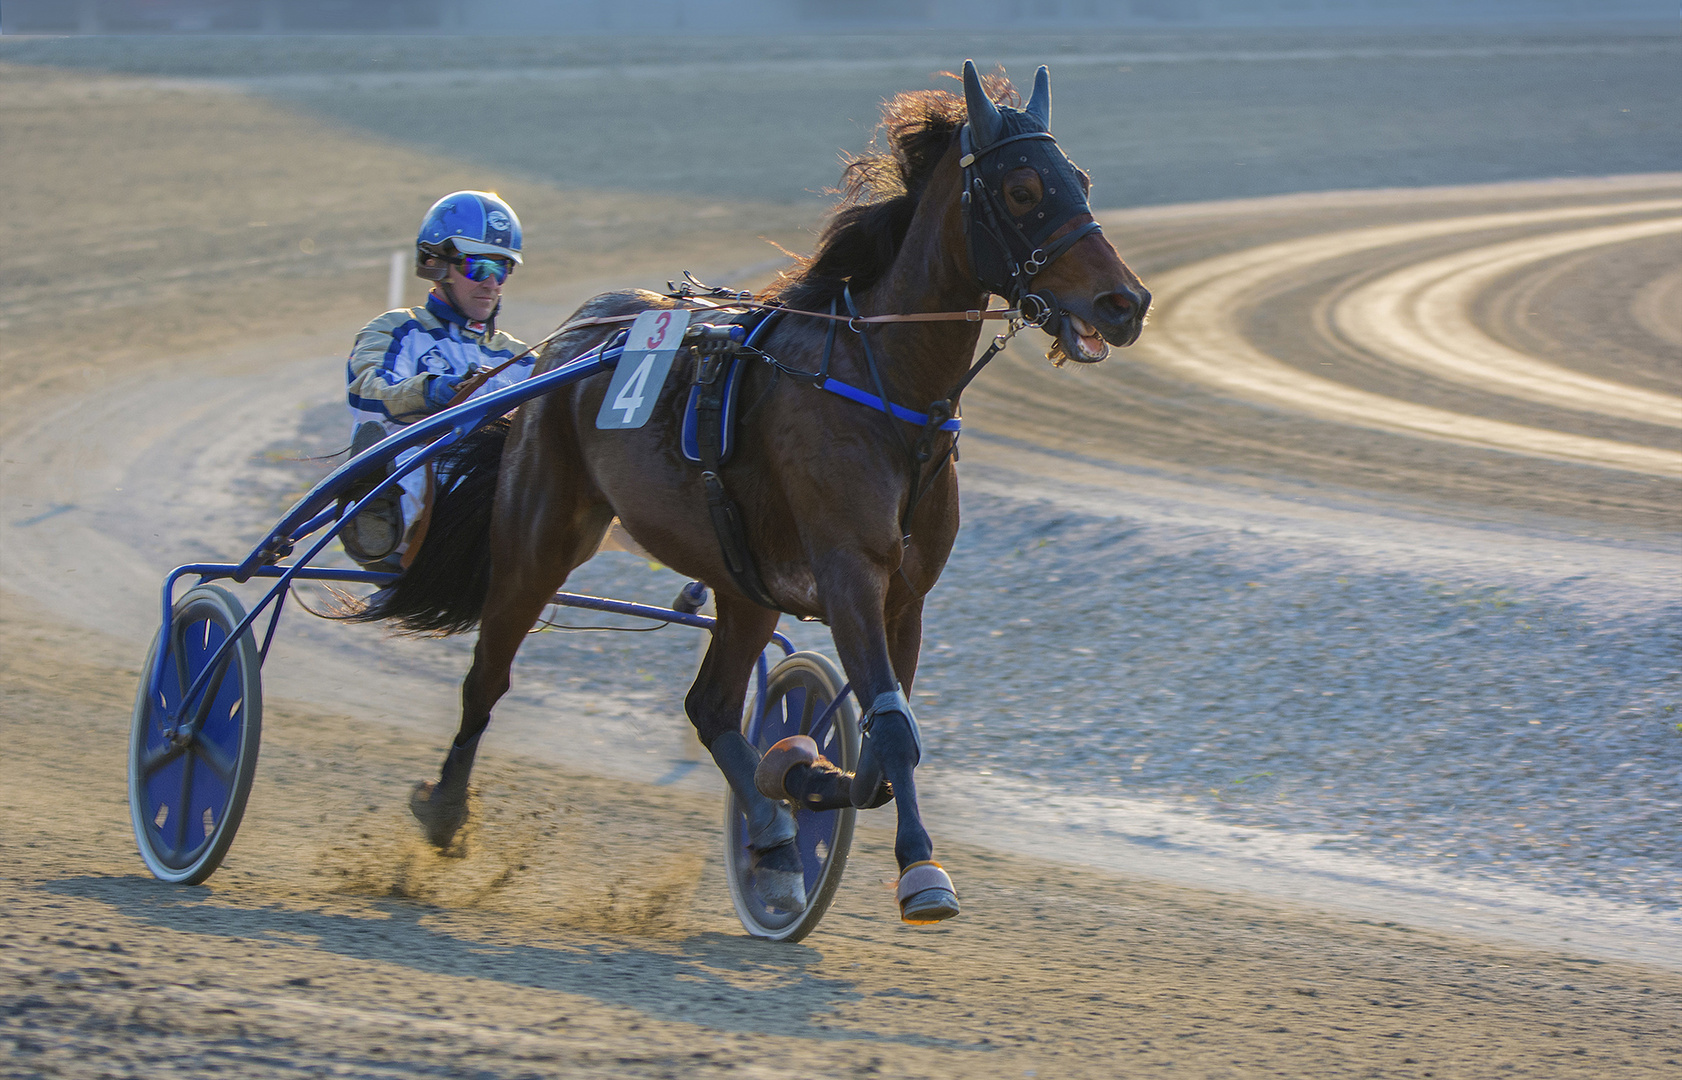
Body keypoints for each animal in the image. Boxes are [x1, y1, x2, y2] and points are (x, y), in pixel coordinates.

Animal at [368, 65, 1150, 928]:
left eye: (1080, 179)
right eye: (1021, 189)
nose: (1126, 303)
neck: (885, 388)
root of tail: (567, 339)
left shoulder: (905, 593)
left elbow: (883, 746)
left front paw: (798, 773)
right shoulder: (847, 572)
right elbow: (893, 733)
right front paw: (920, 869)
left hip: (742, 583)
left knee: (709, 704)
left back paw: (773, 842)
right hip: (541, 539)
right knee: (488, 675)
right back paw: (444, 812)